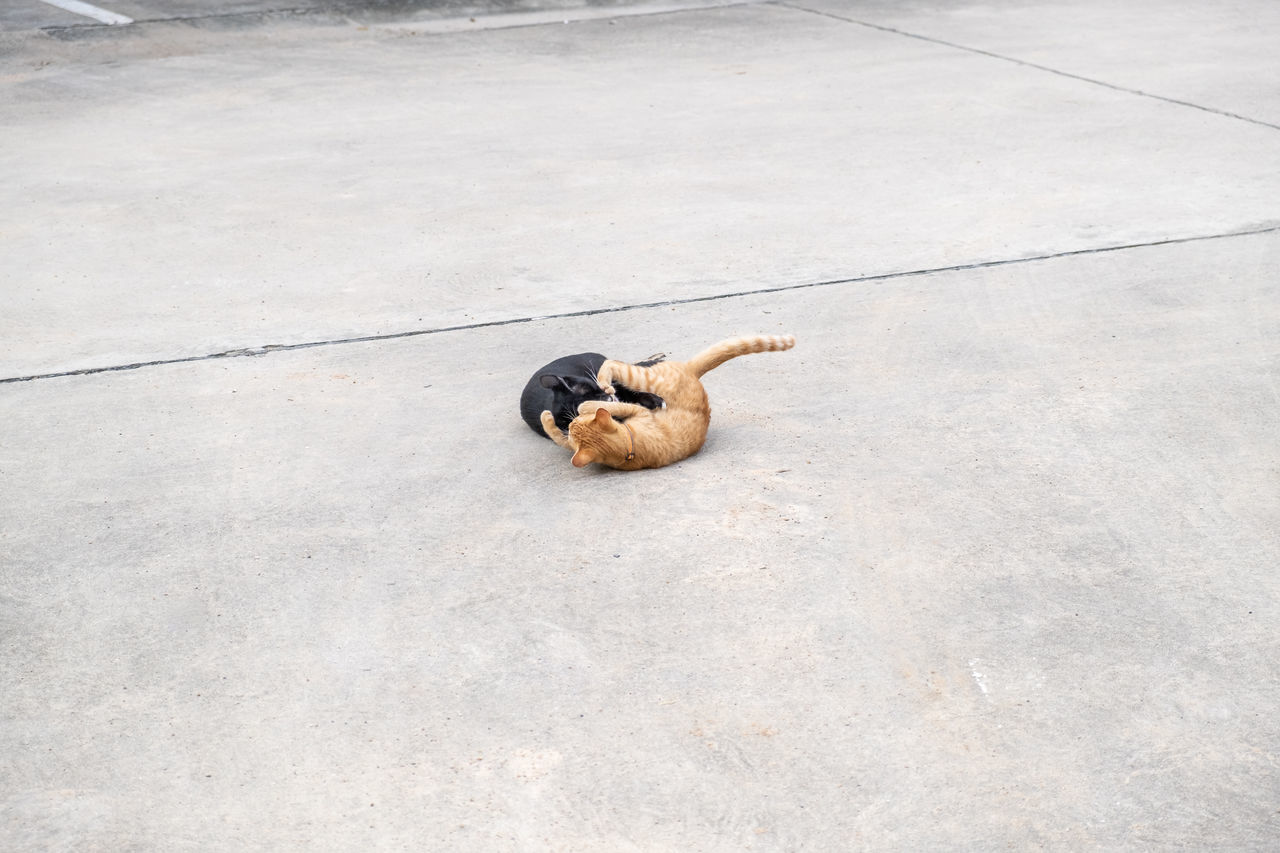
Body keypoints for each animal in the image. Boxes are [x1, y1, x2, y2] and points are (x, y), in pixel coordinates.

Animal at [537, 333, 793, 468]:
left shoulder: (634, 409)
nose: (571, 422)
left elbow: (609, 403)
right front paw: (549, 418)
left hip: (646, 379)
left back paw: (607, 377)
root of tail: (691, 372)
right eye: (571, 426)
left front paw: (584, 405)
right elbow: (558, 436)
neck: (629, 448)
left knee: (614, 364)